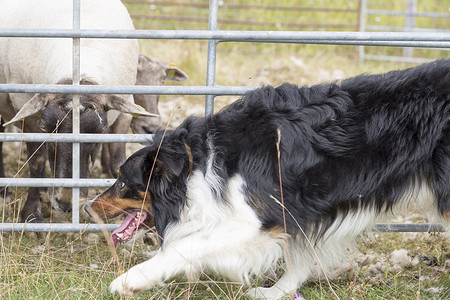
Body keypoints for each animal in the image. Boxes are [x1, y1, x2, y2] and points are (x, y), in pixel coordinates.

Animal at [86, 59, 448, 298]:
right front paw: (278, 291)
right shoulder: (294, 210)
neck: (198, 162)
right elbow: (298, 255)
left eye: (121, 181)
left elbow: (186, 244)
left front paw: (131, 279)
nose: (87, 208)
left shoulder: (257, 217)